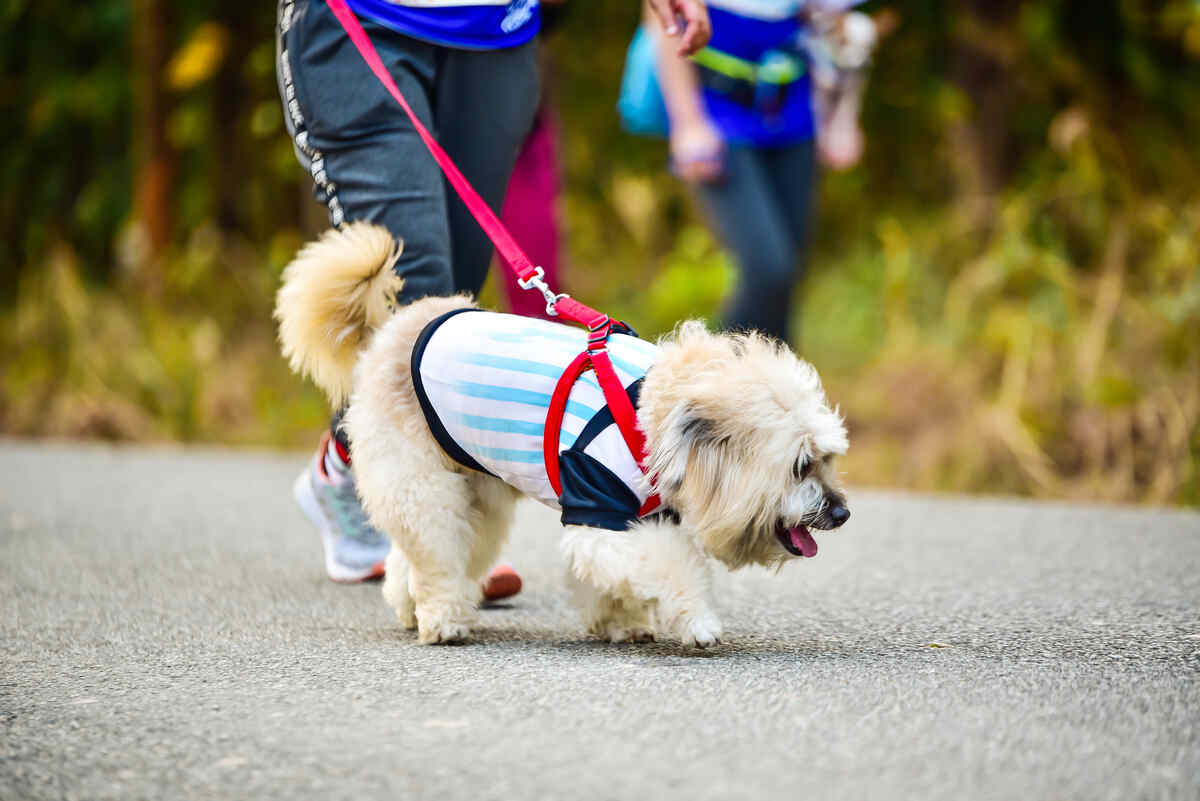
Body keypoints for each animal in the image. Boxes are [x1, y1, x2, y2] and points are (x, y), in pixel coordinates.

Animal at [274, 221, 849, 647]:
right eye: (800, 465)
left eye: (827, 458)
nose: (843, 512)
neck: (652, 418)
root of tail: (398, 328)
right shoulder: (598, 510)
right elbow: (667, 564)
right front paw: (697, 621)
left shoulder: (636, 515)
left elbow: (616, 581)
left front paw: (621, 623)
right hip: (423, 487)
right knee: (435, 558)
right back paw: (442, 620)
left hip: (474, 495)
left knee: (423, 555)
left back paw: (411, 607)